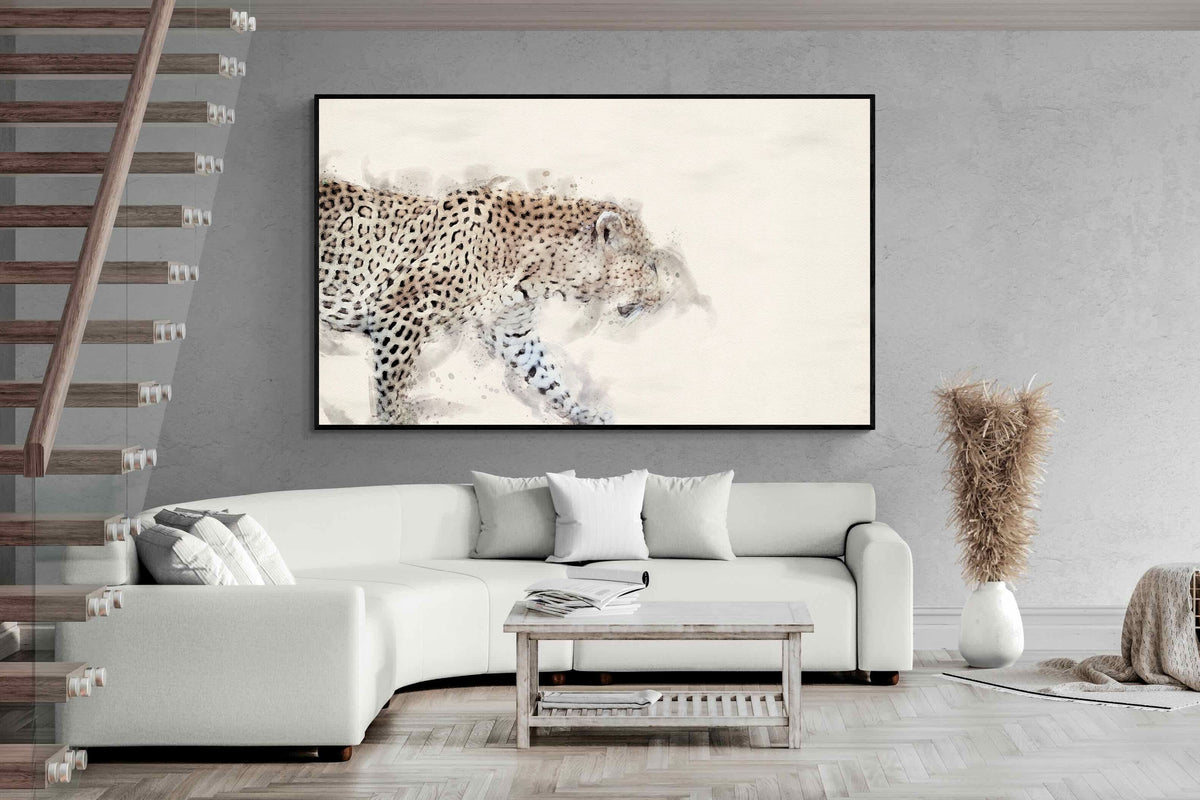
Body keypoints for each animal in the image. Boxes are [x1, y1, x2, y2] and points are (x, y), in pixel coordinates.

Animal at [318, 177, 694, 425]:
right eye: (648, 264)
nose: (661, 298)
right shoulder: (399, 312)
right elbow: (391, 384)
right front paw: (397, 420)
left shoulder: (512, 330)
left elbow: (547, 375)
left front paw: (582, 413)